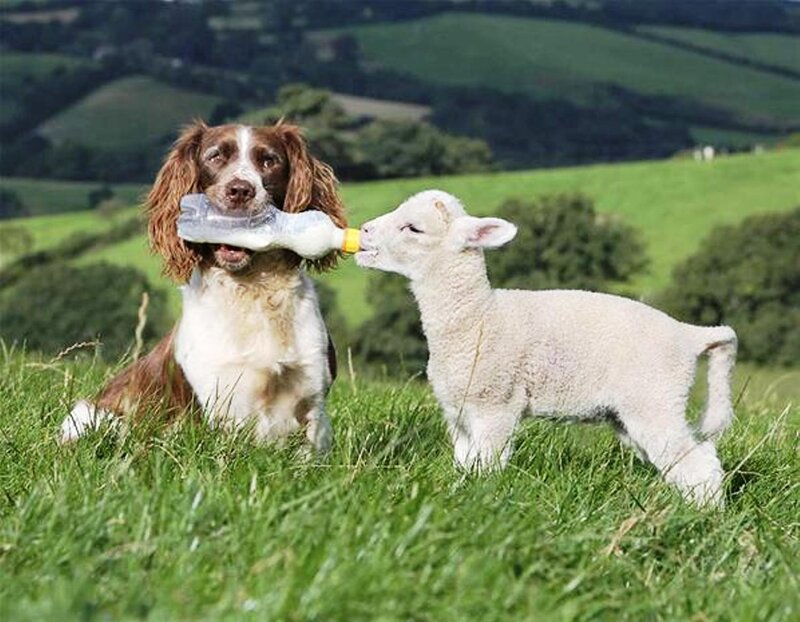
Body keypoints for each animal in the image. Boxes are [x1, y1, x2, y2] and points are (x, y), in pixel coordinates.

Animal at [356, 190, 738, 507]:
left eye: (413, 228)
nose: (364, 231)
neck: (479, 317)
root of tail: (688, 335)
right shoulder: (458, 413)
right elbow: (464, 463)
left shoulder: (496, 405)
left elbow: (486, 465)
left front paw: (481, 500)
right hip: (633, 412)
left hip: (654, 398)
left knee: (698, 461)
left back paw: (706, 516)